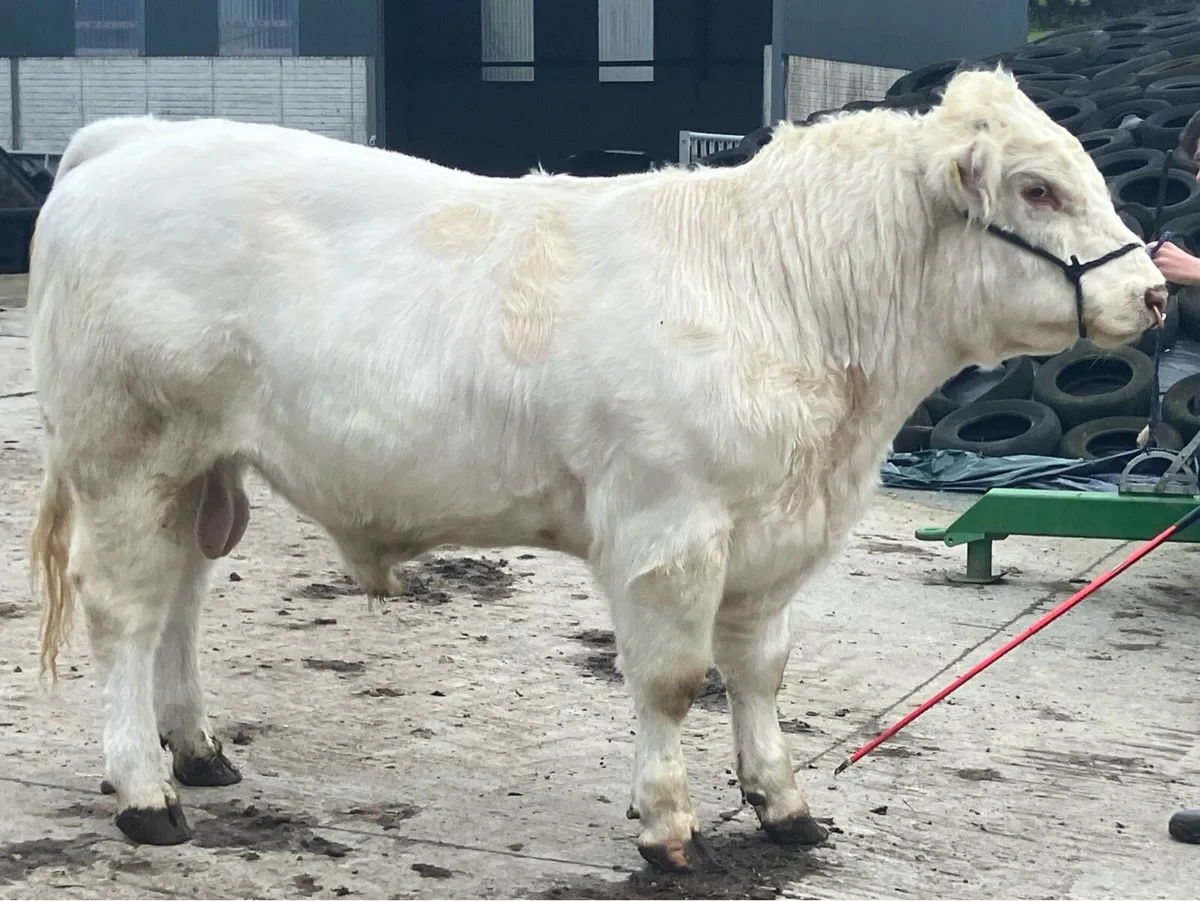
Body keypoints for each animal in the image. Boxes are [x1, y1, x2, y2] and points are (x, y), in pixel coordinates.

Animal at [28, 66, 1167, 872]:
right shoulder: (671, 527)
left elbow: (761, 670)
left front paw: (783, 803)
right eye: (1036, 187)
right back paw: (145, 793)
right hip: (127, 454)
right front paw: (668, 826)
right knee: (126, 615)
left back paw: (197, 750)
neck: (783, 293)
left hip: (200, 468)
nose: (1156, 292)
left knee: (179, 603)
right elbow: (674, 680)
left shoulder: (772, 537)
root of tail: (133, 139)